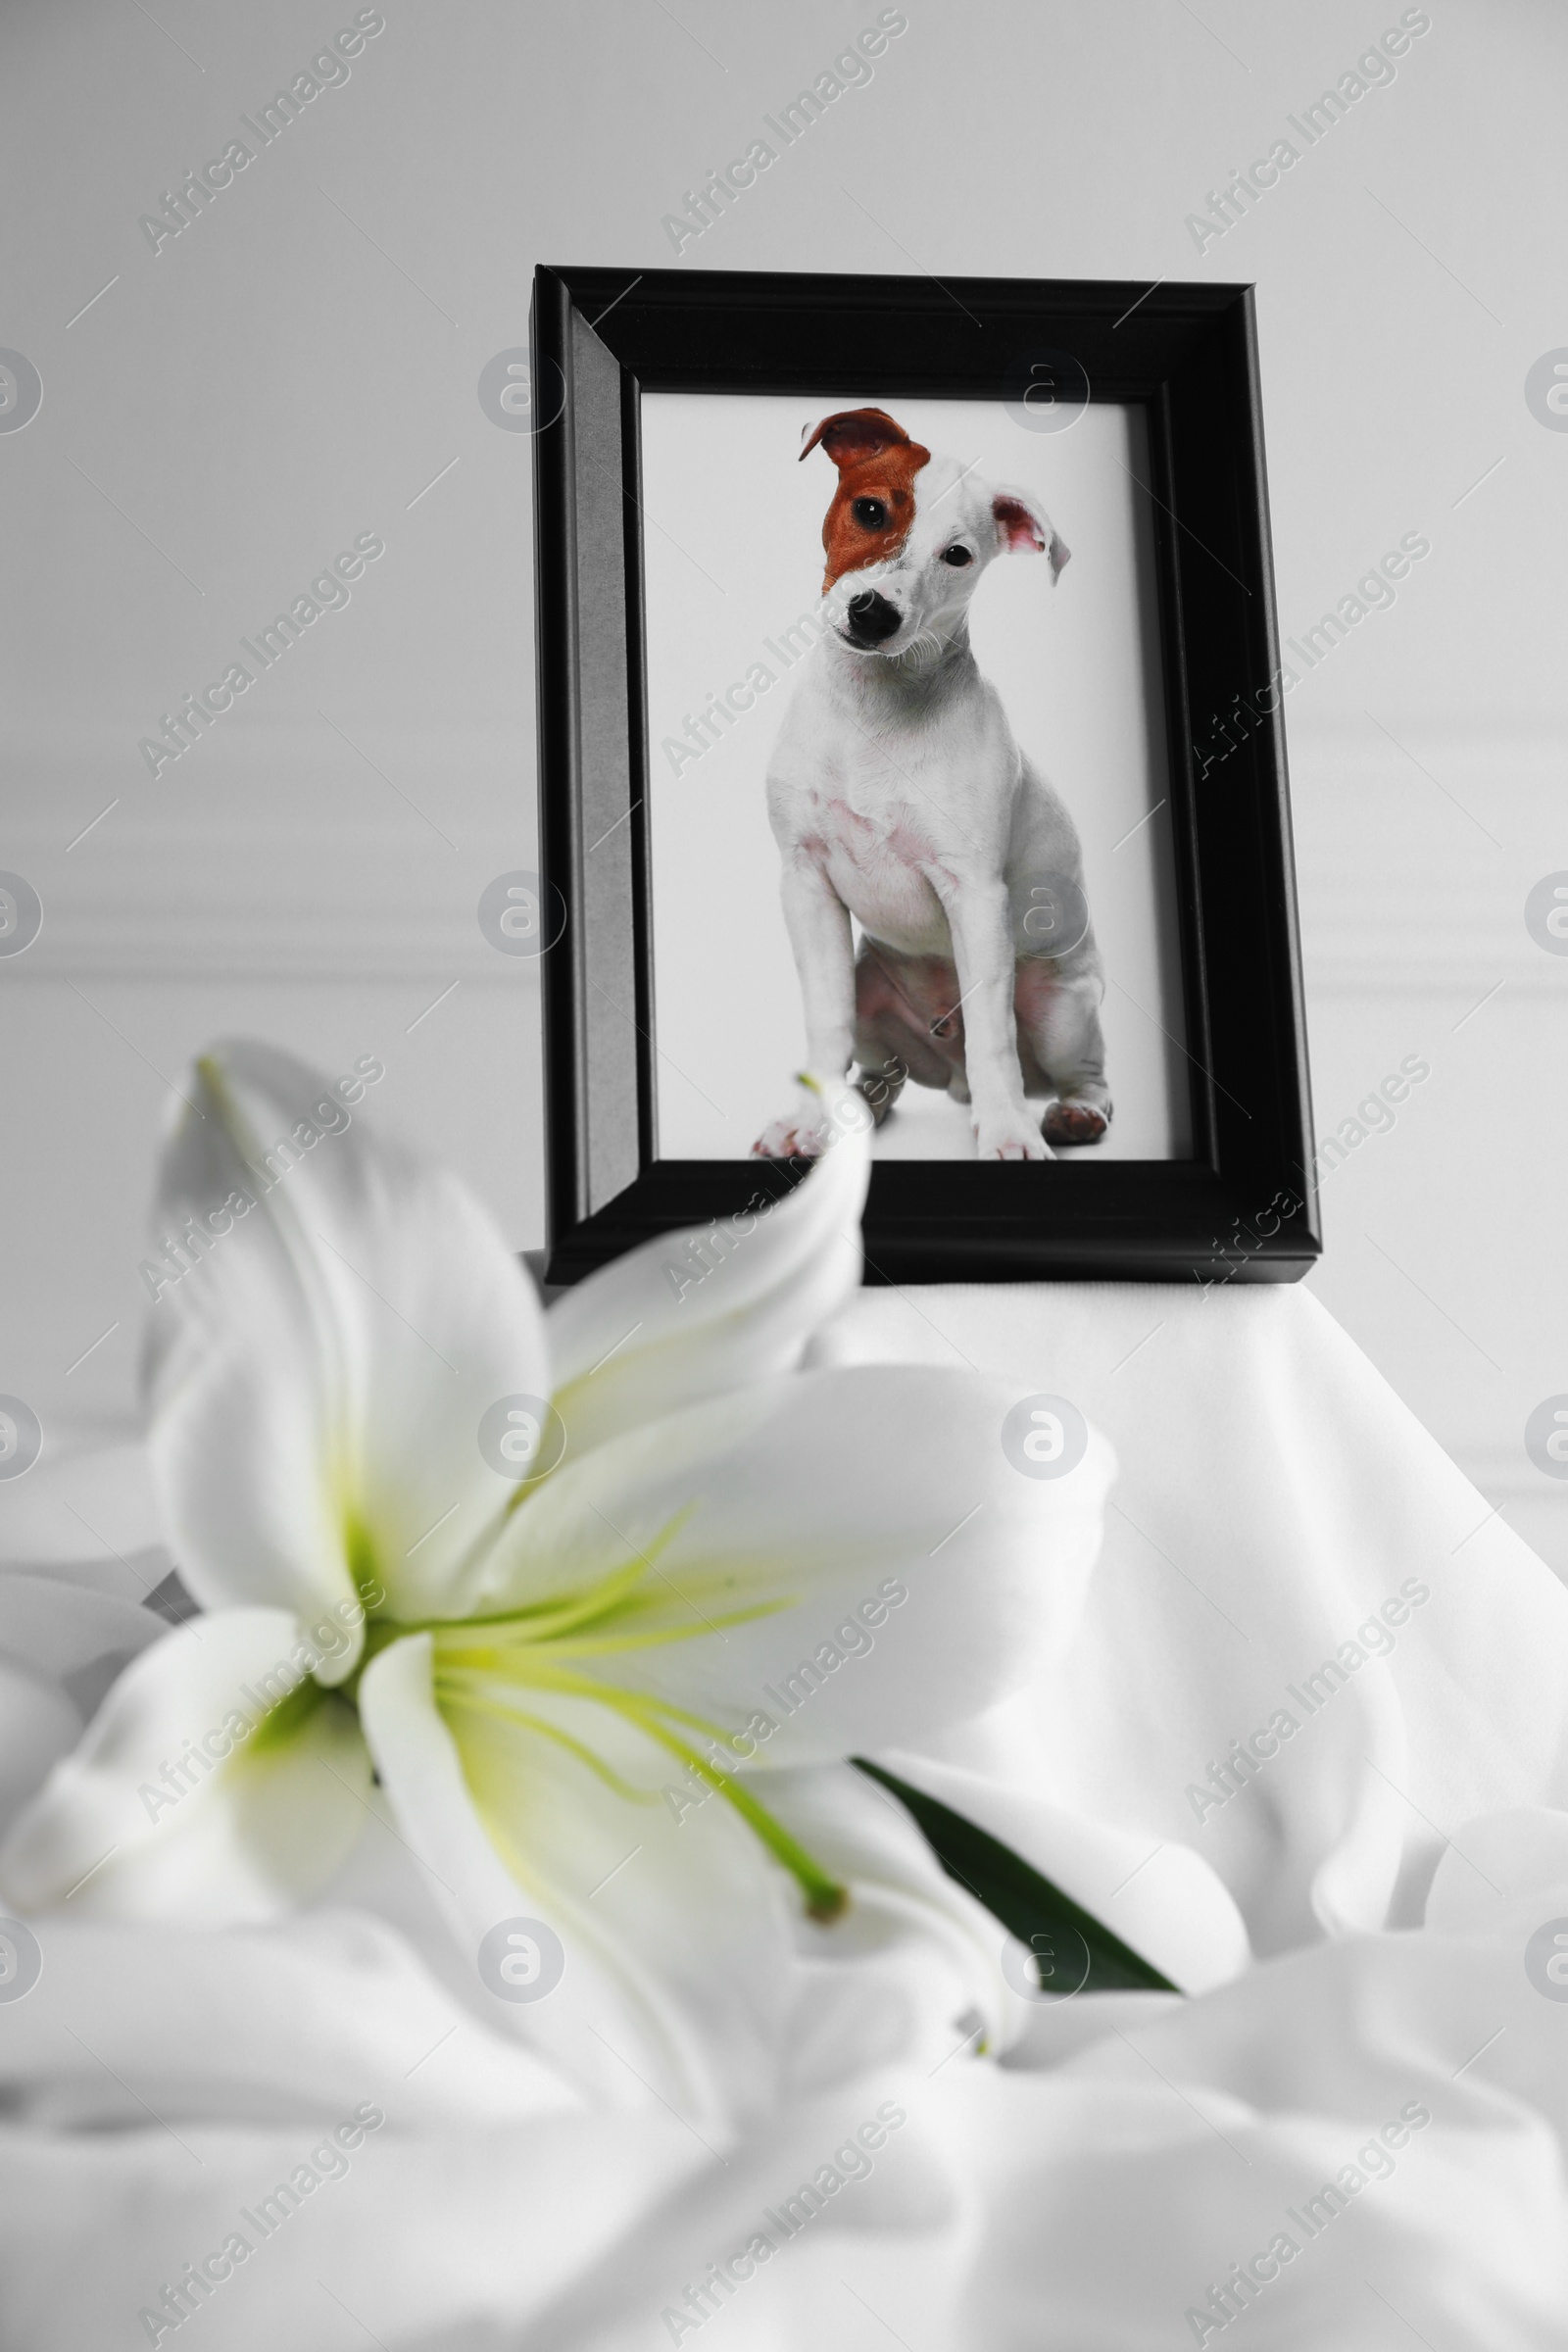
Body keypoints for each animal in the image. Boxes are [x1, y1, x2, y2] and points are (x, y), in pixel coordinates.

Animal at [752, 418, 1109, 1171]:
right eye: (870, 511)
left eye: (957, 555)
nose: (874, 613)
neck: (873, 711)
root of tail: (947, 1077)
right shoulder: (805, 885)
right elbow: (823, 1024)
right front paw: (806, 1123)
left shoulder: (975, 895)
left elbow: (994, 1039)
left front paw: (1009, 1134)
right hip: (871, 991)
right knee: (881, 1070)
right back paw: (860, 1108)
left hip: (1062, 1012)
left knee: (1081, 1071)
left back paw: (1071, 1115)